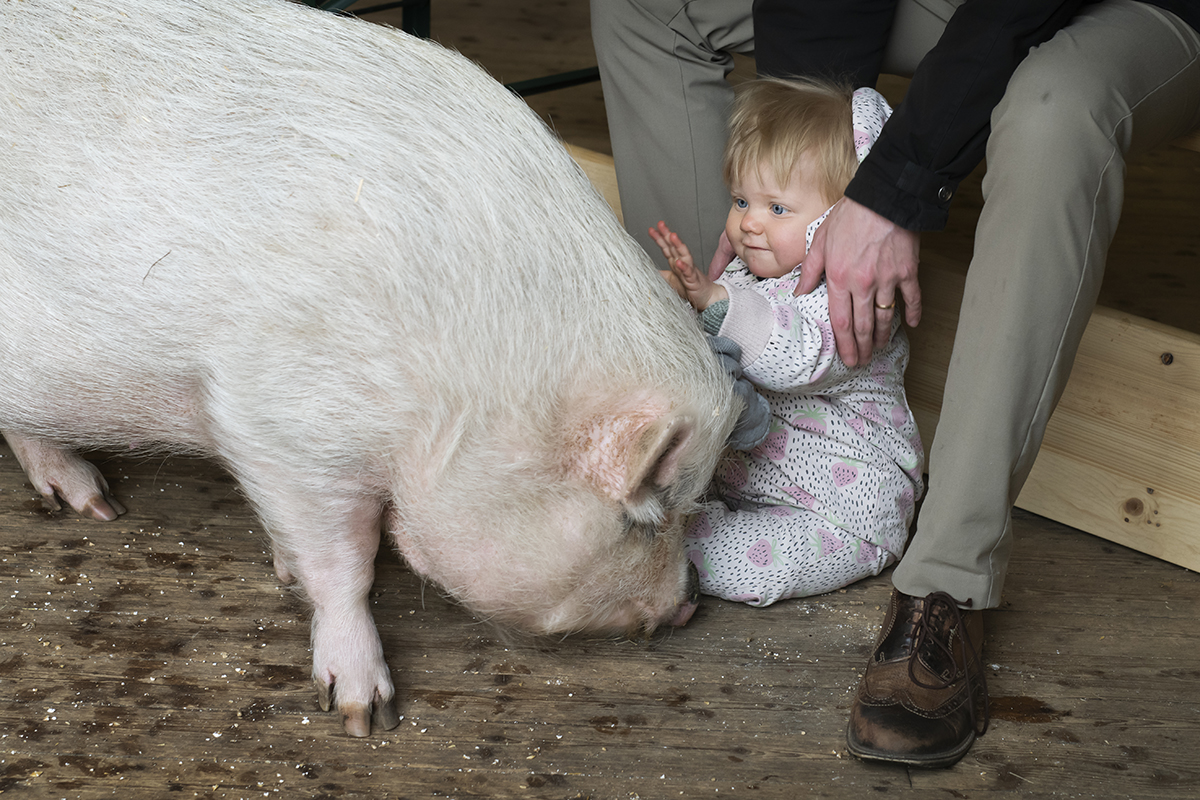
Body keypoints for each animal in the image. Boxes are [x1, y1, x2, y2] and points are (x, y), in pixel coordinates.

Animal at [0, 0, 734, 738]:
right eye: (648, 513)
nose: (692, 599)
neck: (468, 388)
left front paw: (286, 575)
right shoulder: (279, 424)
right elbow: (344, 569)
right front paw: (363, 716)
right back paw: (97, 506)